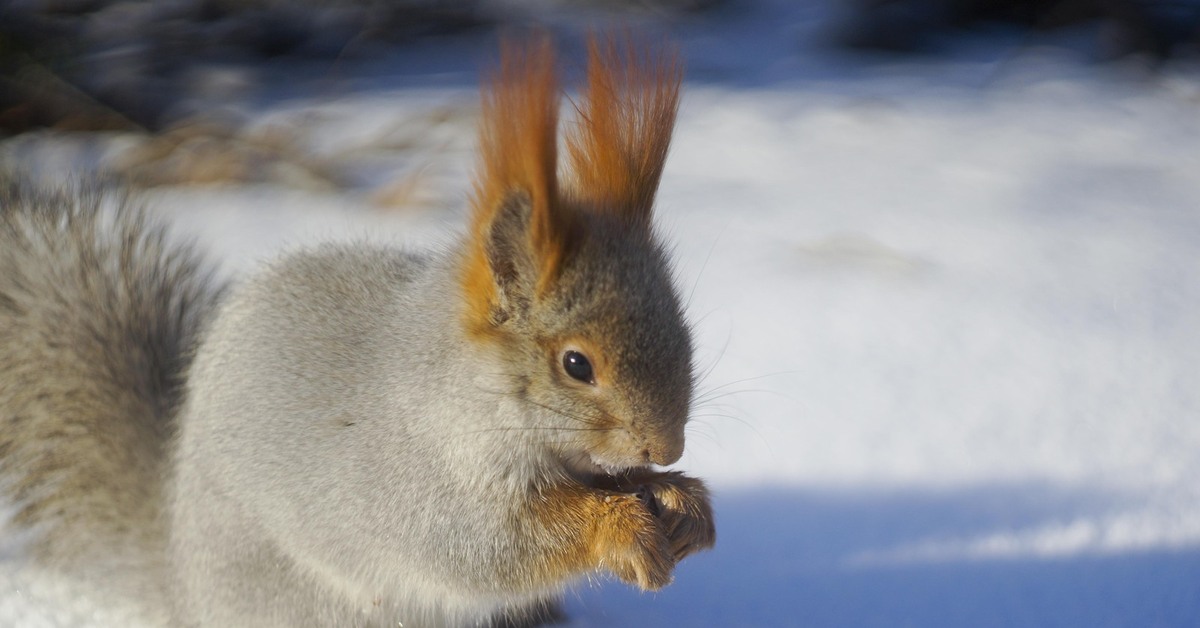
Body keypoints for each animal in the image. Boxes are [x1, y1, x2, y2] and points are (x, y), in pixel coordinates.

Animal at [0, 33, 710, 628]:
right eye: (576, 364)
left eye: (684, 330)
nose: (667, 446)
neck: (458, 390)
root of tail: (179, 578)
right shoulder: (416, 487)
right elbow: (490, 548)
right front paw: (620, 527)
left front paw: (682, 502)